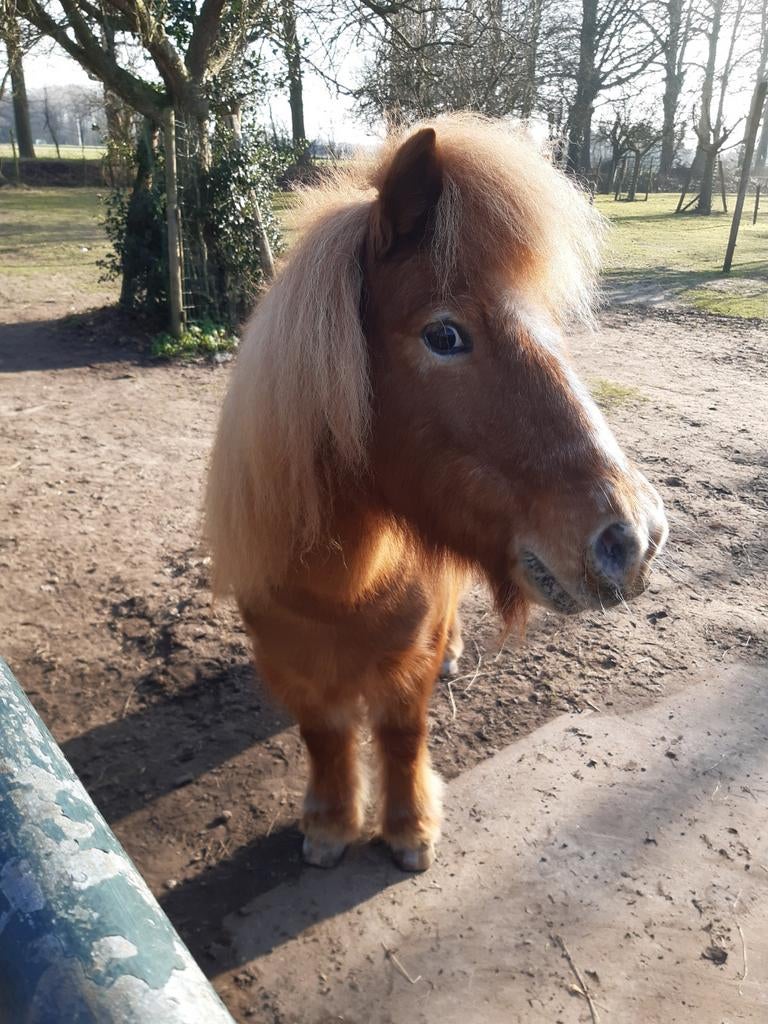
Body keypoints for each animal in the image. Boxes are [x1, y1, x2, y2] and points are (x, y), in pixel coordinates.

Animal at [205, 115, 668, 872]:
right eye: (444, 334)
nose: (634, 538)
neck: (339, 585)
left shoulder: (407, 665)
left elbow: (401, 737)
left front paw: (409, 830)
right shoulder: (292, 667)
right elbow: (324, 737)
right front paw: (330, 825)